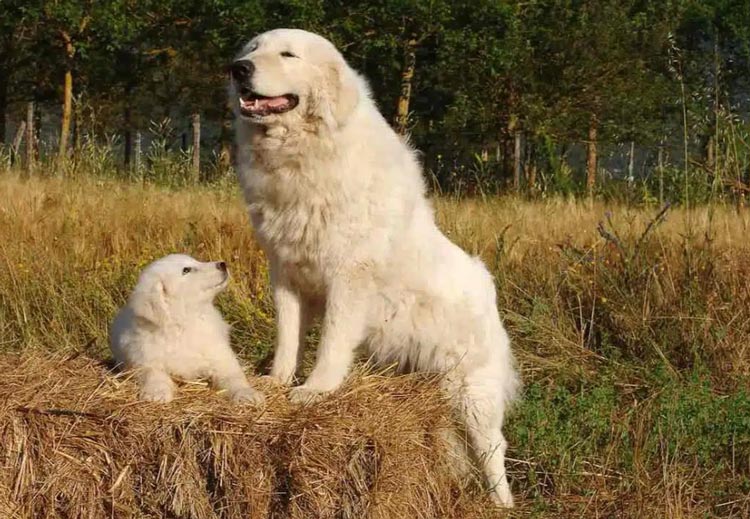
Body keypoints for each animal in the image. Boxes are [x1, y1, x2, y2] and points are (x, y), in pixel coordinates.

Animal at [110, 255, 264, 406]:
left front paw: (246, 394)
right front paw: (157, 392)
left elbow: (234, 377)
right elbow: (153, 374)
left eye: (196, 261)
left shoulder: (222, 359)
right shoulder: (145, 359)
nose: (222, 264)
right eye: (186, 270)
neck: (184, 324)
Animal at [232, 29, 520, 508]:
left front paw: (316, 390)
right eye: (252, 49)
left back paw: (502, 504)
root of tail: (488, 286)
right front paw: (276, 381)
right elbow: (288, 337)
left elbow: (331, 343)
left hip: (472, 393)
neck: (306, 152)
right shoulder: (286, 273)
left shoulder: (347, 276)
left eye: (288, 54)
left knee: (493, 449)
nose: (238, 68)